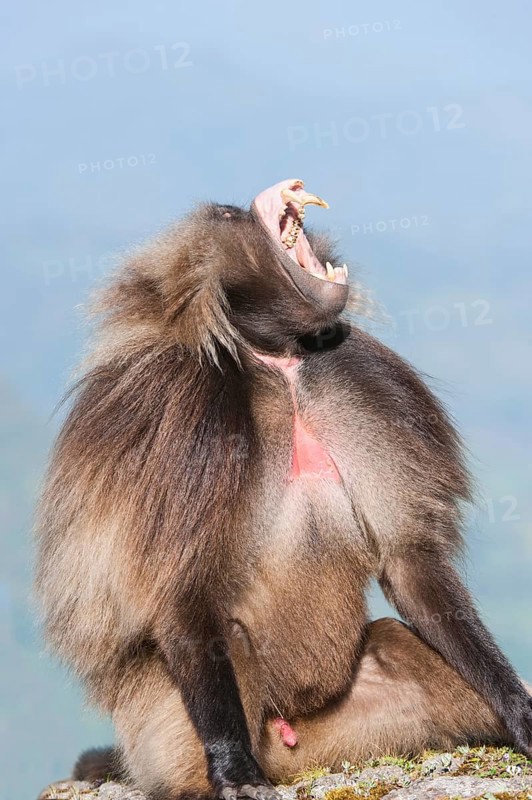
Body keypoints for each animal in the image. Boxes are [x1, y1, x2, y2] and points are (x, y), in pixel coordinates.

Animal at [35, 178, 532, 800]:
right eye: (228, 215)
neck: (276, 359)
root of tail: (296, 742)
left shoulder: (359, 383)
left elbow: (409, 560)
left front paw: (521, 712)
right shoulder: (178, 412)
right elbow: (179, 591)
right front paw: (233, 771)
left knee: (396, 644)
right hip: (164, 728)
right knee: (220, 641)